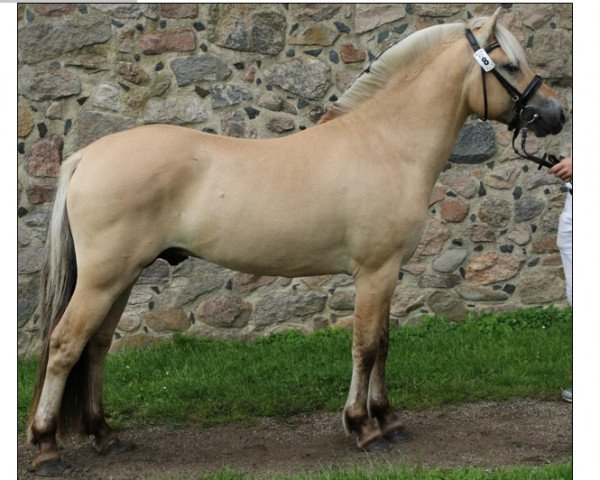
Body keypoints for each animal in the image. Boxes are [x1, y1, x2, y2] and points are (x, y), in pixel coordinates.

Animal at [25, 9, 564, 474]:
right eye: (510, 65)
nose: (555, 113)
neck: (387, 143)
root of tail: (87, 156)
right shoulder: (375, 273)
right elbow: (366, 346)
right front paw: (363, 428)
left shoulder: (389, 273)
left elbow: (385, 344)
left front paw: (389, 419)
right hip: (104, 278)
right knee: (66, 344)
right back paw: (47, 447)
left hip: (122, 277)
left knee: (96, 346)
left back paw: (104, 435)